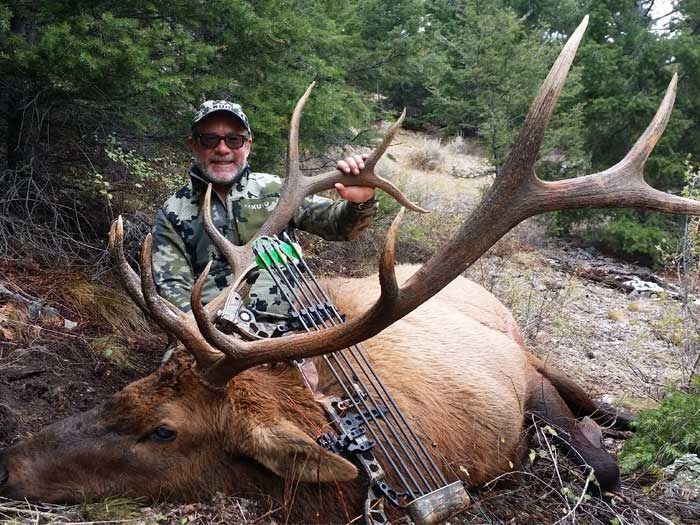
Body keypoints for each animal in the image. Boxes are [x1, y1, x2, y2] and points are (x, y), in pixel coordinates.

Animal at [1, 17, 699, 524]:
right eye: (130, 388)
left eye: (164, 432)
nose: (8, 463)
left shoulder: (524, 383)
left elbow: (601, 465)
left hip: (529, 349)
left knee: (604, 406)